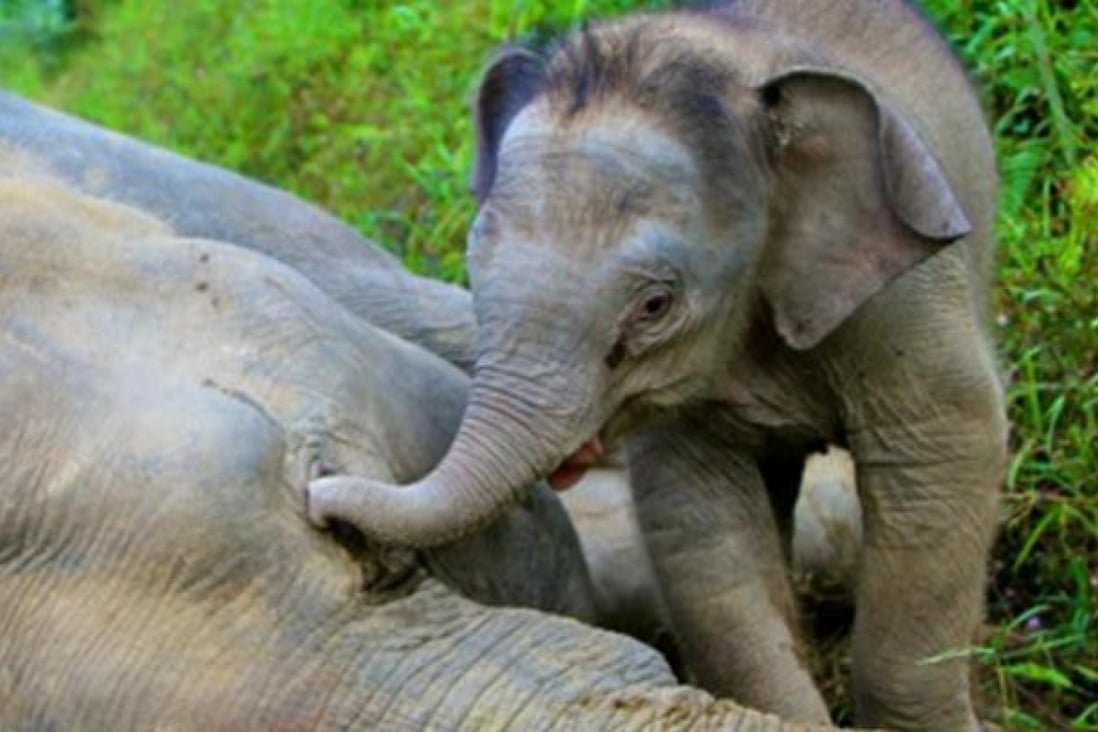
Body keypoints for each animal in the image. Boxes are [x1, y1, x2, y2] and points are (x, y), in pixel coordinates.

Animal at [309, 1, 1008, 729]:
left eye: (654, 305)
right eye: (473, 270)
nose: (321, 500)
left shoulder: (906, 293)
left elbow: (942, 457)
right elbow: (697, 519)